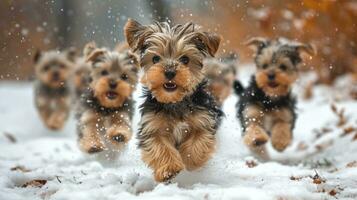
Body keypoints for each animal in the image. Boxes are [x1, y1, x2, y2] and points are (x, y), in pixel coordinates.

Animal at [124, 19, 221, 183]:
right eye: (155, 59)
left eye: (185, 59)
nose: (169, 72)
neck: (174, 101)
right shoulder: (152, 126)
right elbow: (159, 147)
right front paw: (169, 169)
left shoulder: (203, 120)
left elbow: (198, 141)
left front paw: (190, 161)